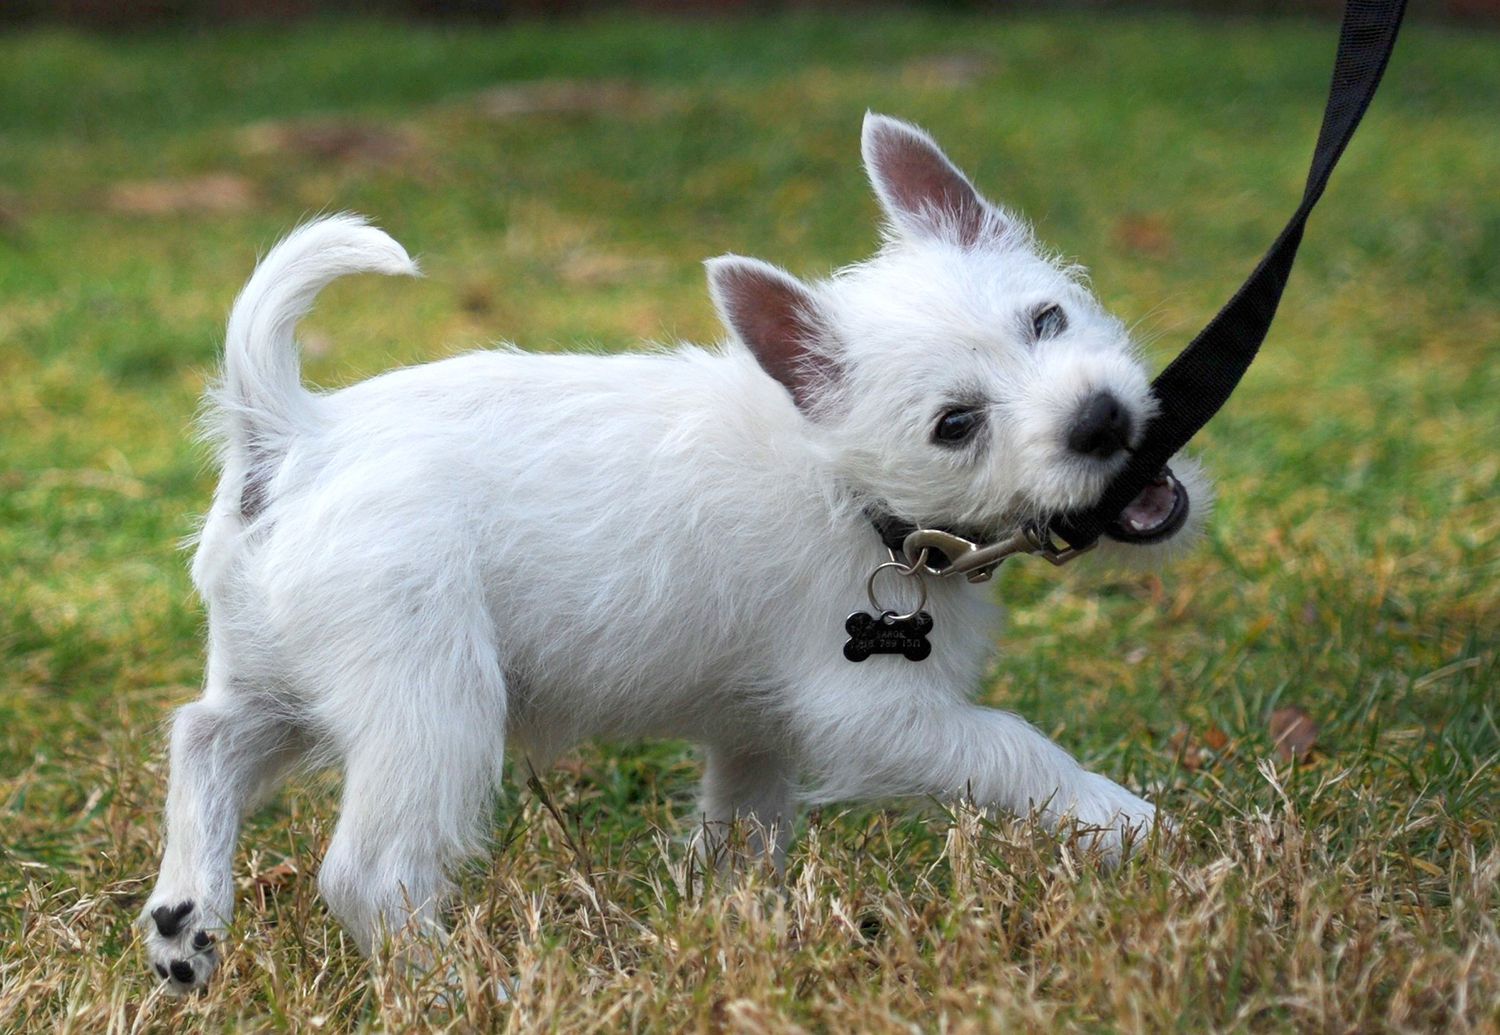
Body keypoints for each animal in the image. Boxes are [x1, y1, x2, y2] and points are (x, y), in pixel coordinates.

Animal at [141, 114, 1206, 990]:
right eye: (956, 424)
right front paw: (1130, 822)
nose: (1101, 419)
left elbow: (744, 832)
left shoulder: (757, 733)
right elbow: (1014, 747)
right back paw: (455, 989)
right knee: (368, 872)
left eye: (1047, 319)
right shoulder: (880, 716)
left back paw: (185, 921)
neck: (849, 487)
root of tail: (295, 433)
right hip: (430, 706)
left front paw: (735, 924)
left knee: (205, 737)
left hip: (285, 679)